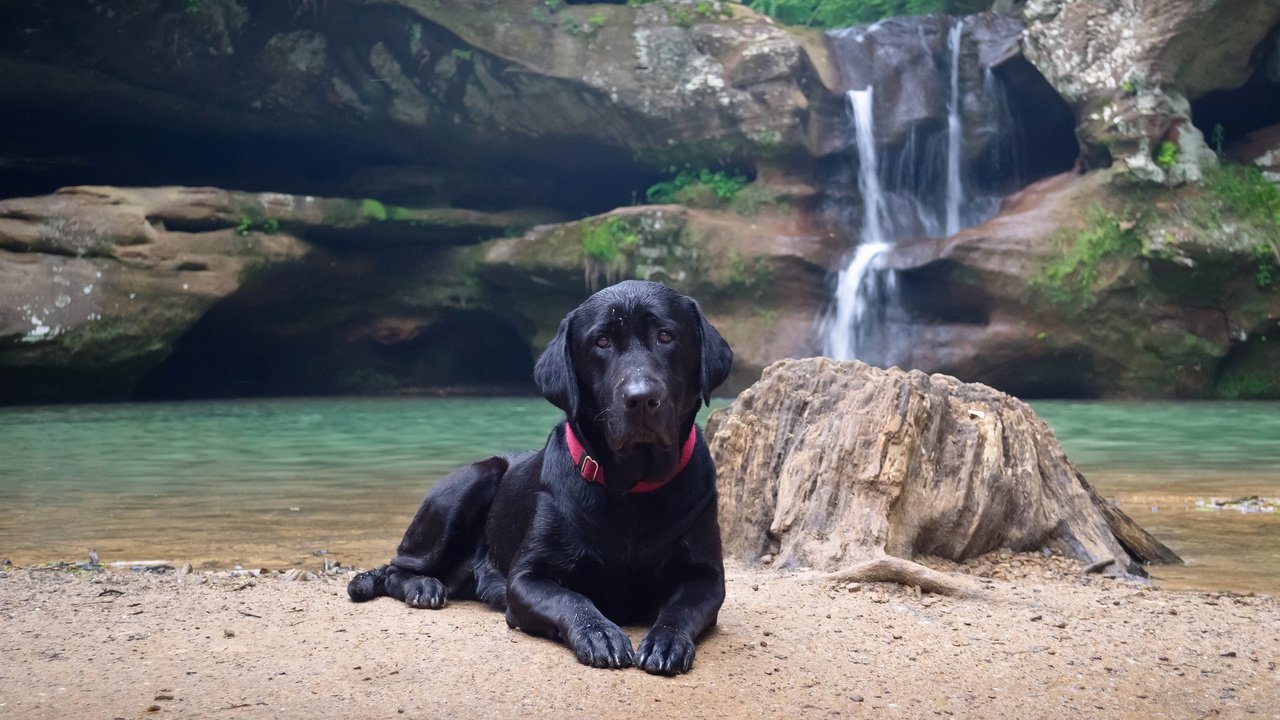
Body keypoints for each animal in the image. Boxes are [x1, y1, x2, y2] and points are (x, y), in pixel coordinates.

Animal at [348, 280, 732, 671]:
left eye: (666, 336)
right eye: (601, 342)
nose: (641, 398)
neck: (631, 487)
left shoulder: (706, 578)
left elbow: (680, 608)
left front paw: (666, 641)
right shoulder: (527, 579)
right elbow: (572, 600)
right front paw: (599, 633)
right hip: (473, 481)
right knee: (396, 567)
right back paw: (422, 587)